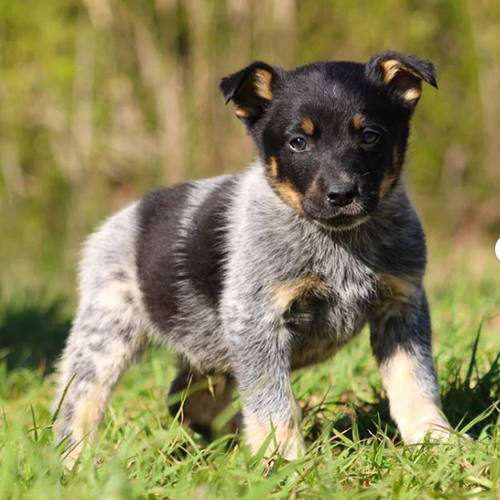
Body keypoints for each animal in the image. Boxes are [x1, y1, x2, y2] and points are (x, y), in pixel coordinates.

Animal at [53, 52, 454, 458]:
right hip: (106, 335)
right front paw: (284, 460)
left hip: (206, 346)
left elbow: (415, 381)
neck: (339, 243)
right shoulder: (257, 320)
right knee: (79, 402)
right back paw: (74, 460)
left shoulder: (401, 304)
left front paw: (435, 439)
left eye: (370, 136)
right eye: (298, 142)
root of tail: (115, 222)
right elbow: (274, 404)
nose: (342, 194)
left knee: (184, 395)